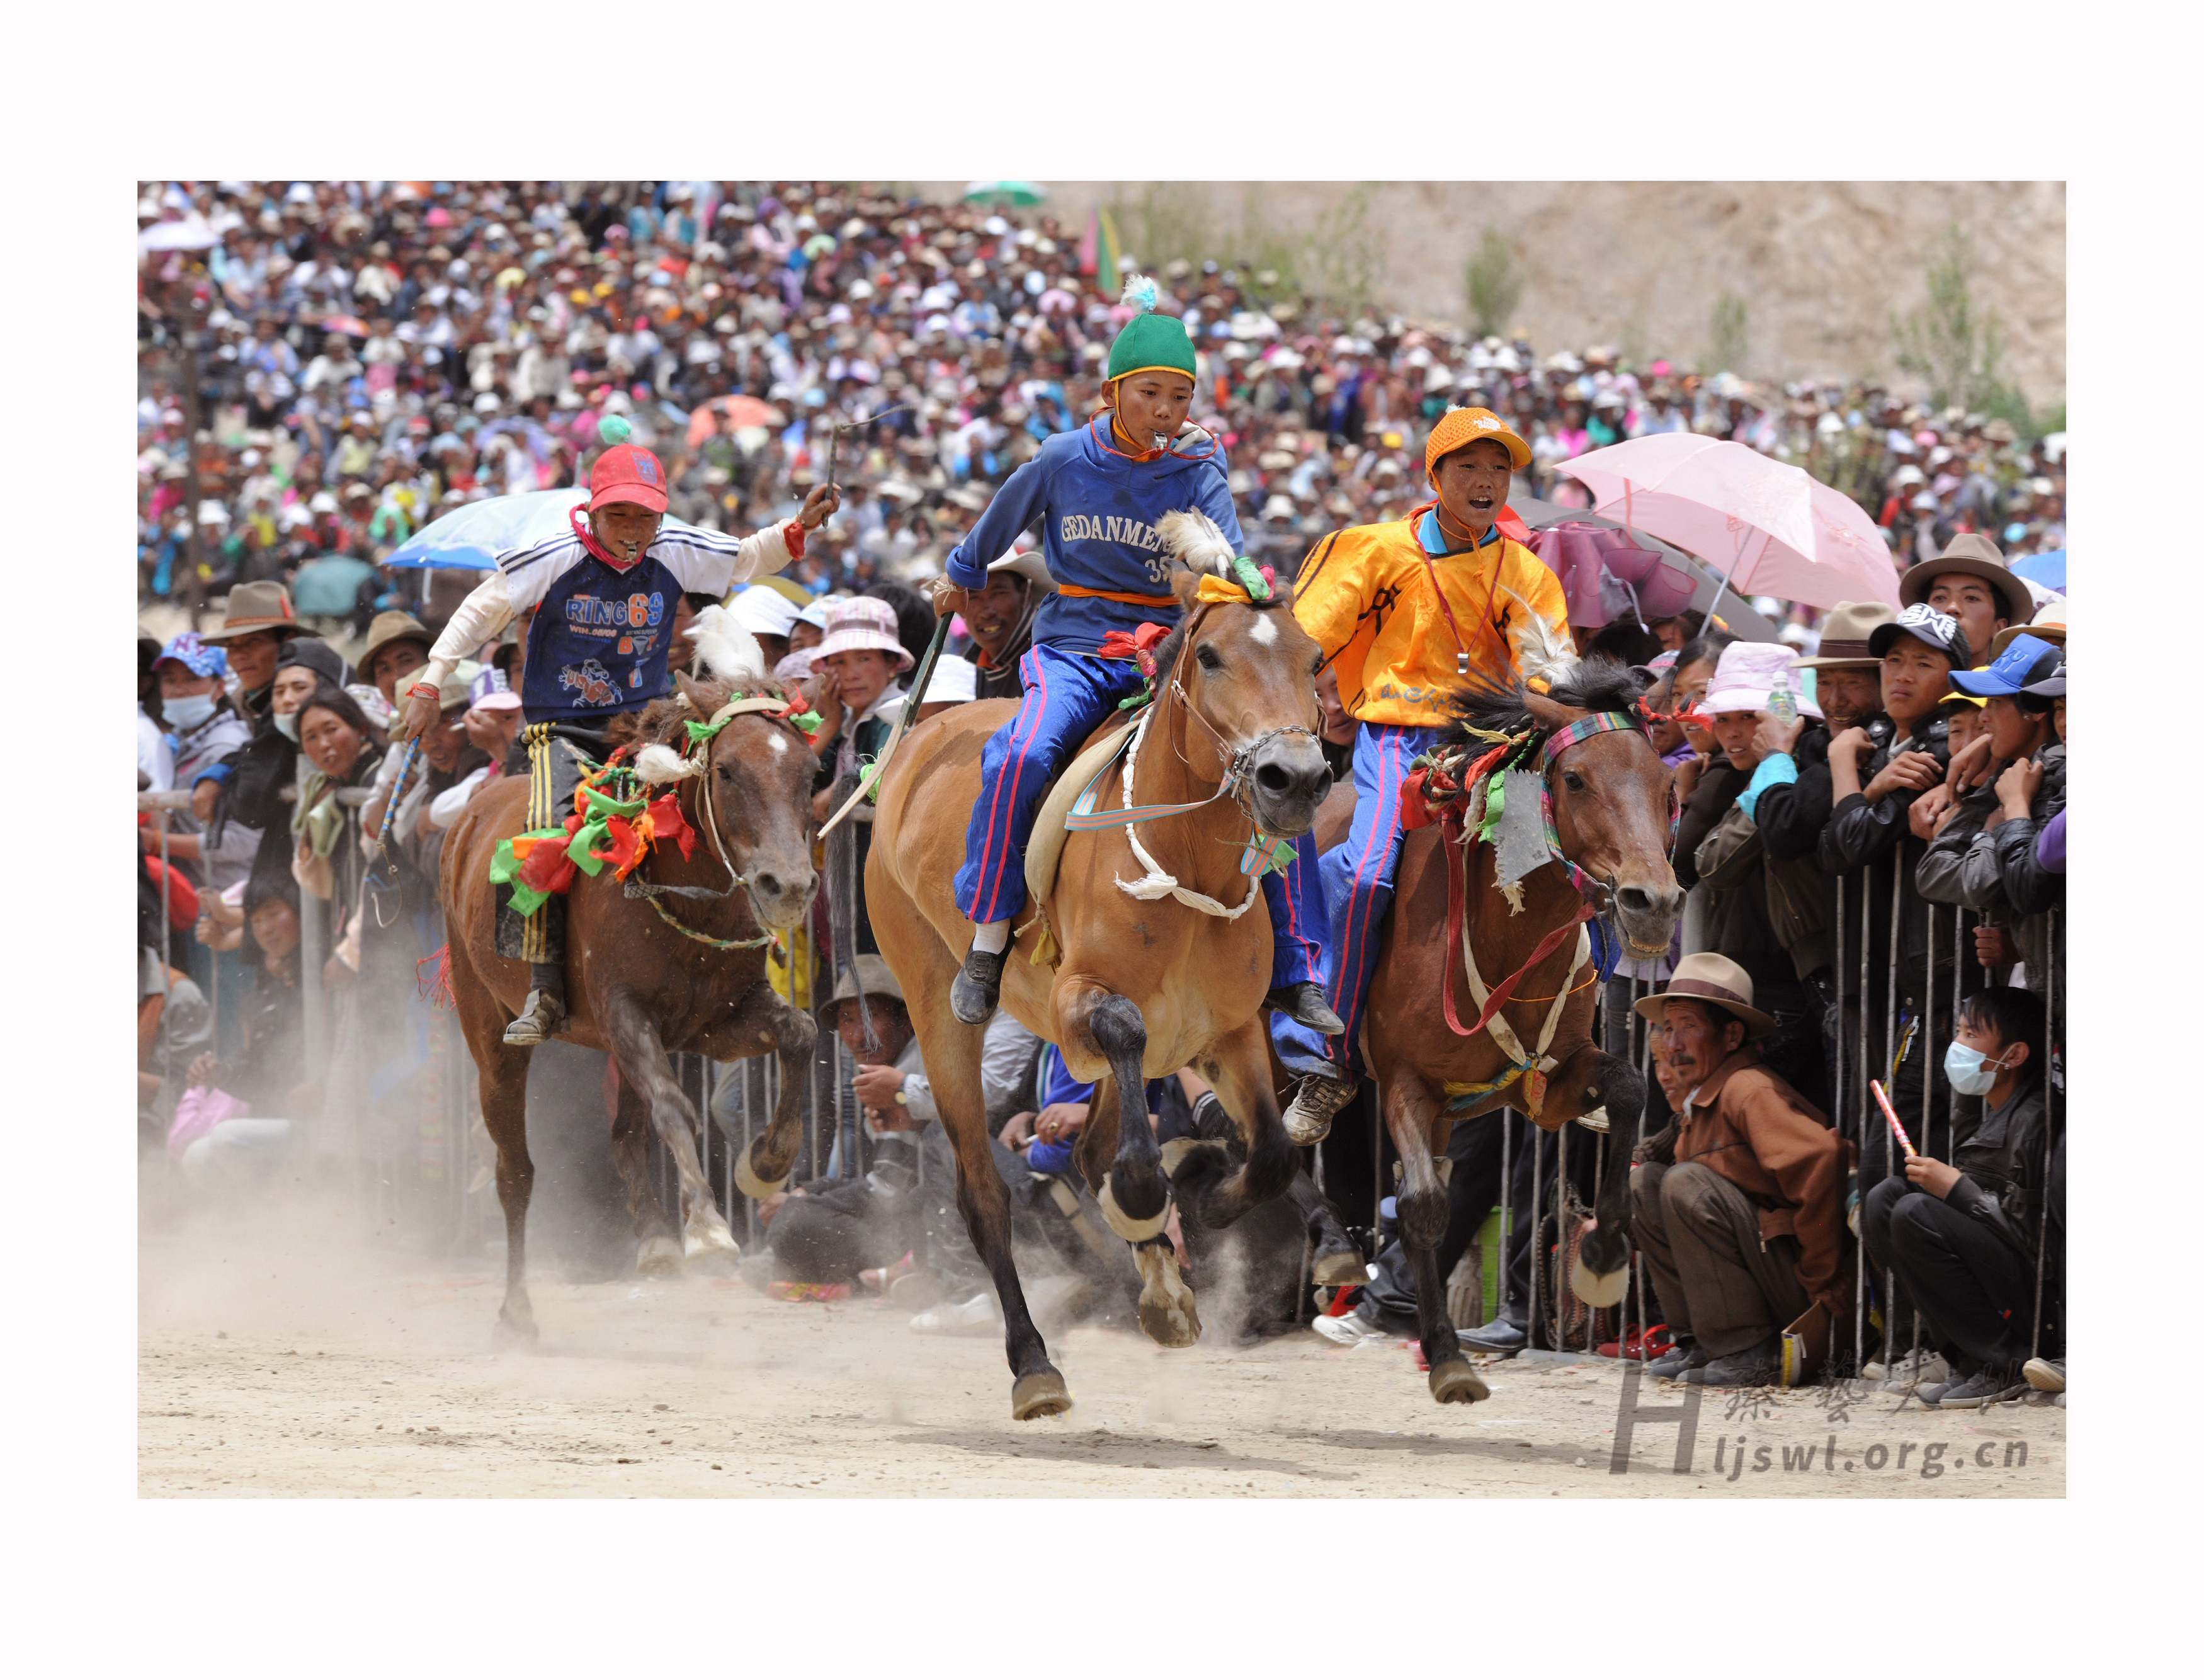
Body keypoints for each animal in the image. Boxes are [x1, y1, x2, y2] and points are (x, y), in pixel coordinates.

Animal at [439, 670, 820, 1345]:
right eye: (727, 771)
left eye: (811, 773)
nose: (789, 887)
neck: (686, 896)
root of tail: (467, 821)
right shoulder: (625, 1013)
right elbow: (673, 1106)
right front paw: (706, 1228)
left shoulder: (717, 1021)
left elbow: (800, 1033)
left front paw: (766, 1163)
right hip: (488, 1033)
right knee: (516, 1172)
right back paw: (518, 1310)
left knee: (624, 1137)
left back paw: (653, 1238)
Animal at [865, 555, 1334, 1419]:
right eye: (1210, 656)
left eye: (1314, 659)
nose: (1294, 777)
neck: (1185, 865)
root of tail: (920, 737)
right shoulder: (1079, 1003)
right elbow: (1124, 1061)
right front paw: (1154, 1200)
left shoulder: (1226, 1030)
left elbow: (1273, 1152)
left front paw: (1209, 1207)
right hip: (935, 1009)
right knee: (985, 1195)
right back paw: (1033, 1363)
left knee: (1085, 1149)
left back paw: (1161, 1290)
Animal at [1356, 654, 1683, 1403]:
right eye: (1575, 779)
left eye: (1667, 787)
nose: (1651, 902)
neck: (1500, 931)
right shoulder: (1403, 1081)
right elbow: (1423, 1203)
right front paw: (1449, 1358)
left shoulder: (1546, 1082)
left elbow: (1628, 1088)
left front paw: (1602, 1255)